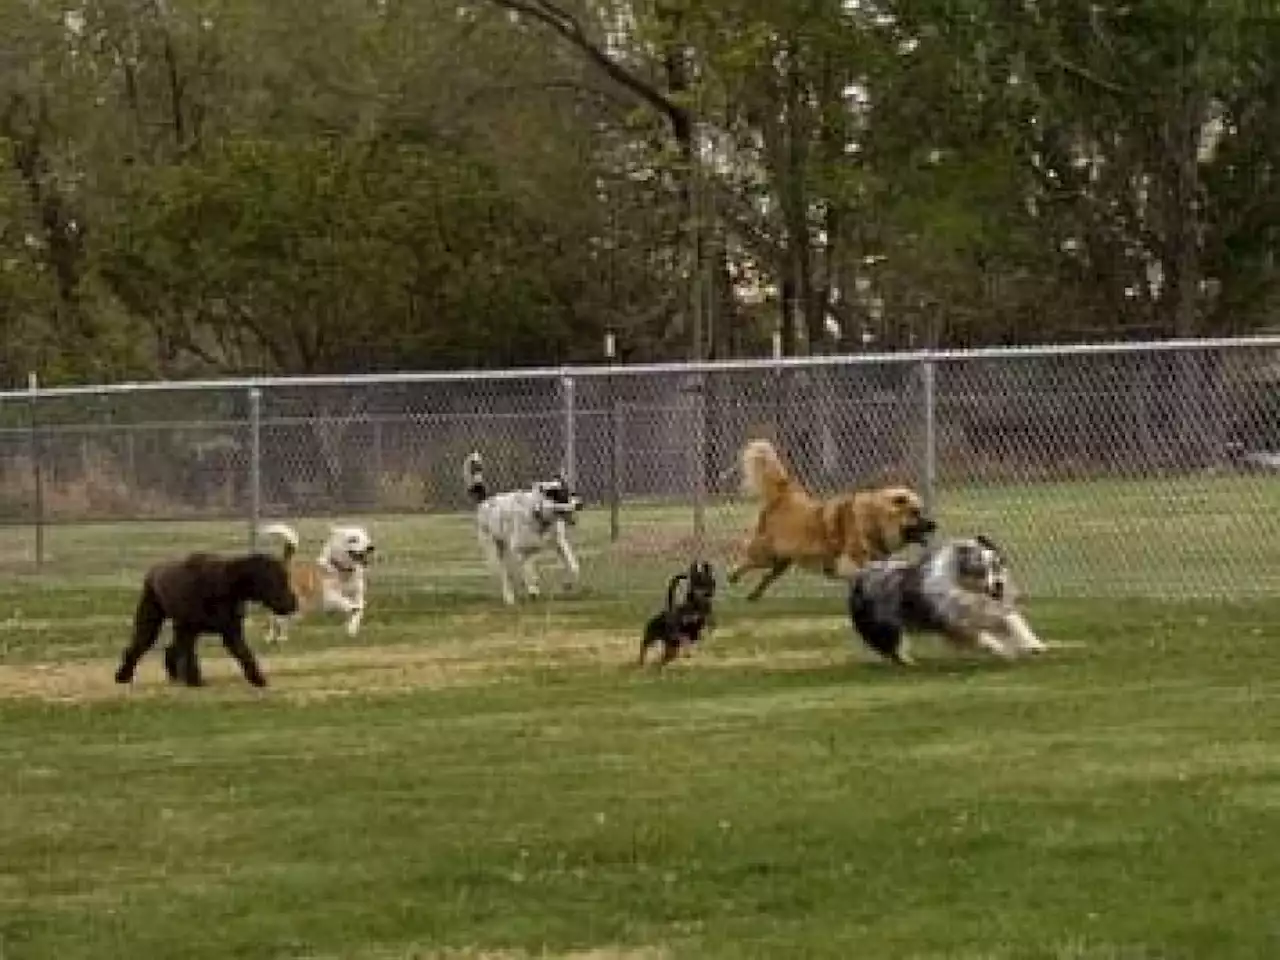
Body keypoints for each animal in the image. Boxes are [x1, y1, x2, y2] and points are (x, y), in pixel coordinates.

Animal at [112, 552, 296, 686]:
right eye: (275, 580)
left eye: (286, 578)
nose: (293, 602)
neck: (230, 585)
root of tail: (153, 572)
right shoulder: (190, 628)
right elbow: (189, 654)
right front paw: (194, 679)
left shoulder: (231, 630)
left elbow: (244, 653)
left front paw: (257, 679)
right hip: (151, 618)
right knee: (141, 644)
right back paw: (123, 675)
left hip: (177, 626)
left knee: (171, 648)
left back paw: (174, 675)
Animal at [465, 450, 586, 601]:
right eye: (562, 496)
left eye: (571, 493)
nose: (581, 503)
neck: (538, 513)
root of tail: (484, 501)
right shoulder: (519, 550)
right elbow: (527, 571)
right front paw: (533, 589)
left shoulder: (558, 543)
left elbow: (574, 566)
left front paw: (567, 583)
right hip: (496, 550)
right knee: (506, 574)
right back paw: (510, 596)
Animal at [727, 437, 936, 601]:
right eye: (915, 512)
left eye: (920, 510)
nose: (934, 525)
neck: (875, 520)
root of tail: (786, 494)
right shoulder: (850, 562)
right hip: (765, 554)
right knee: (745, 559)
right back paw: (732, 576)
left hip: (781, 561)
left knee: (767, 576)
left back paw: (753, 595)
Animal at [844, 537, 1044, 665]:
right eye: (980, 570)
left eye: (996, 565)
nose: (999, 584)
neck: (968, 590)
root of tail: (859, 576)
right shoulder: (953, 623)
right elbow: (981, 636)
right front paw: (1002, 649)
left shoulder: (992, 611)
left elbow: (1016, 623)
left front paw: (1035, 645)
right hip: (886, 625)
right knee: (892, 646)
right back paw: (907, 662)